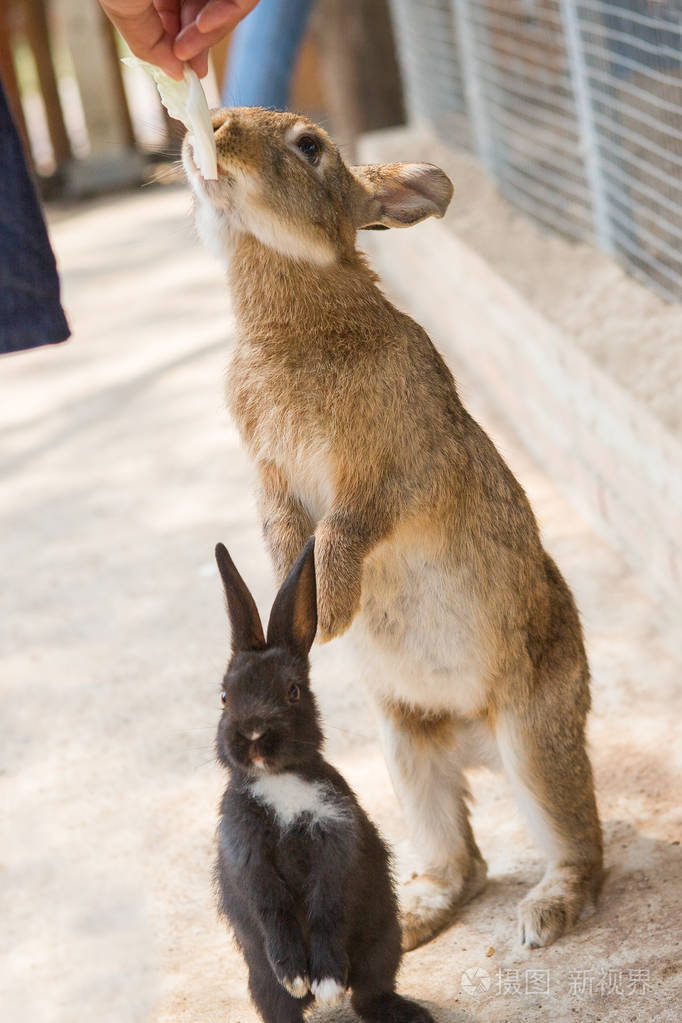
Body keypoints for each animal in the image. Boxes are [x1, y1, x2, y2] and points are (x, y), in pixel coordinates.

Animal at [180, 109, 601, 949]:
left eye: (310, 145)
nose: (213, 126)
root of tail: (476, 741)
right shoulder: (273, 480)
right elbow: (284, 531)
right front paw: (292, 604)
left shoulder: (388, 471)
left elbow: (346, 529)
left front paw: (329, 611)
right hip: (403, 744)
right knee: (459, 860)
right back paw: (411, 919)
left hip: (533, 734)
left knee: (579, 841)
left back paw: (545, 912)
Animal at [213, 536, 431, 1023]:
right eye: (224, 696)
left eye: (293, 691)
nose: (253, 735)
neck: (279, 782)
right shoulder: (249, 856)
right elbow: (273, 911)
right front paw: (297, 977)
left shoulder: (335, 845)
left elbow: (326, 909)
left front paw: (326, 982)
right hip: (259, 982)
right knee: (282, 1007)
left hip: (383, 943)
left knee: (370, 993)